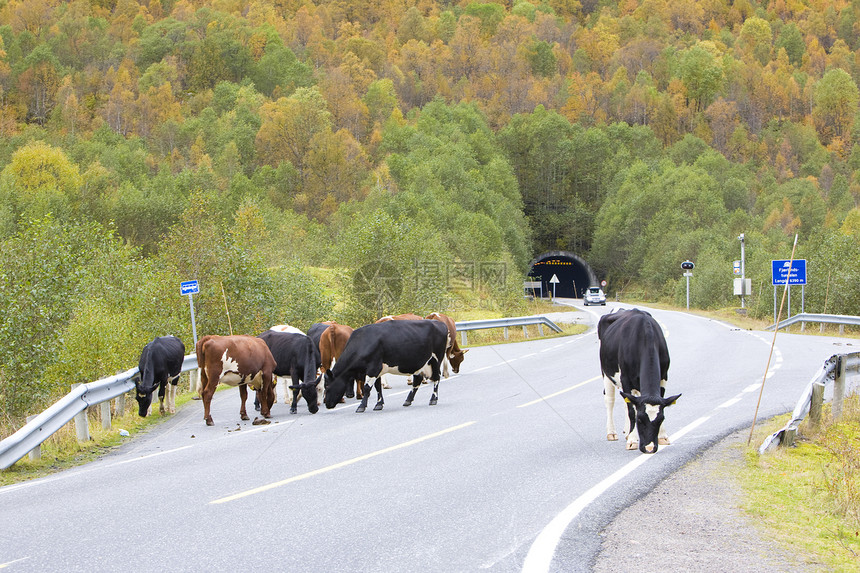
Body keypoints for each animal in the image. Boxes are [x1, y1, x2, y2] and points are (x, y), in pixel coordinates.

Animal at [322, 320, 450, 414]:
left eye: (327, 385)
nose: (327, 404)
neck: (363, 342)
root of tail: (439, 323)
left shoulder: (373, 368)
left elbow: (367, 388)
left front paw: (361, 406)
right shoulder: (377, 370)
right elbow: (378, 387)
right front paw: (379, 404)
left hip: (436, 359)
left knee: (436, 378)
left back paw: (433, 399)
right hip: (419, 363)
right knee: (417, 380)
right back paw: (408, 400)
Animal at [596, 308, 680, 452]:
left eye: (661, 419)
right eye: (640, 419)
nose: (649, 448)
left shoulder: (664, 376)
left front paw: (663, 436)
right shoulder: (625, 379)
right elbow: (631, 411)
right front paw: (632, 440)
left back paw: (626, 432)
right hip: (606, 372)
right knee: (610, 400)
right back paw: (612, 433)